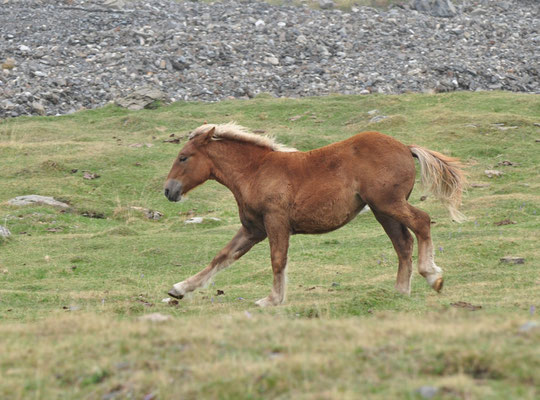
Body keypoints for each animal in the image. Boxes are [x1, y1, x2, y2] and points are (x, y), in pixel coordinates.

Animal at [162, 122, 462, 306]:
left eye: (184, 157)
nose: (168, 190)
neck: (255, 172)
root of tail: (405, 147)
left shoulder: (275, 222)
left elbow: (277, 260)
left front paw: (272, 299)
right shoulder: (253, 229)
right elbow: (222, 257)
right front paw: (180, 288)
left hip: (389, 203)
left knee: (422, 222)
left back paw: (432, 276)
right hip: (382, 211)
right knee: (403, 243)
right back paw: (401, 290)